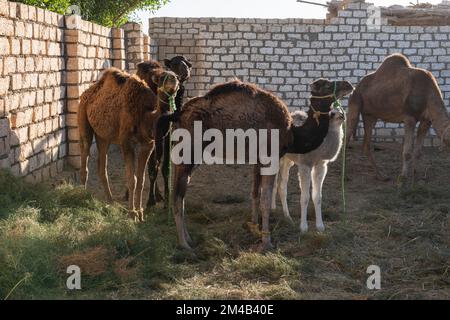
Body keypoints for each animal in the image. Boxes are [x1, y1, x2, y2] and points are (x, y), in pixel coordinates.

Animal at [78, 67, 178, 222]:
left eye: (177, 76)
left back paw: (111, 201)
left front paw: (141, 213)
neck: (146, 116)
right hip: (83, 116)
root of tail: (86, 94)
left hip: (103, 136)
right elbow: (132, 179)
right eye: (162, 77)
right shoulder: (126, 142)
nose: (173, 79)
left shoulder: (148, 145)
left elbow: (141, 180)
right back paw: (82, 194)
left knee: (102, 165)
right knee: (85, 150)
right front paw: (132, 213)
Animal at [163, 79, 356, 250]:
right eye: (326, 84)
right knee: (177, 196)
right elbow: (265, 199)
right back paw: (184, 244)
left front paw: (254, 226)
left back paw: (189, 238)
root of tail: (178, 114)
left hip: (190, 157)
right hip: (188, 153)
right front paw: (267, 242)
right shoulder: (271, 157)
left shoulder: (258, 159)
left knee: (180, 194)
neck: (293, 133)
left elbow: (255, 194)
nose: (349, 85)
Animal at [346, 52, 450, 182]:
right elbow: (407, 152)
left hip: (370, 115)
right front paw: (402, 178)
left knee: (366, 145)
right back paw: (345, 176)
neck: (428, 93)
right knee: (347, 135)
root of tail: (356, 87)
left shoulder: (426, 120)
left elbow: (418, 151)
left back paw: (382, 176)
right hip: (355, 102)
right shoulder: (409, 117)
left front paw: (415, 175)